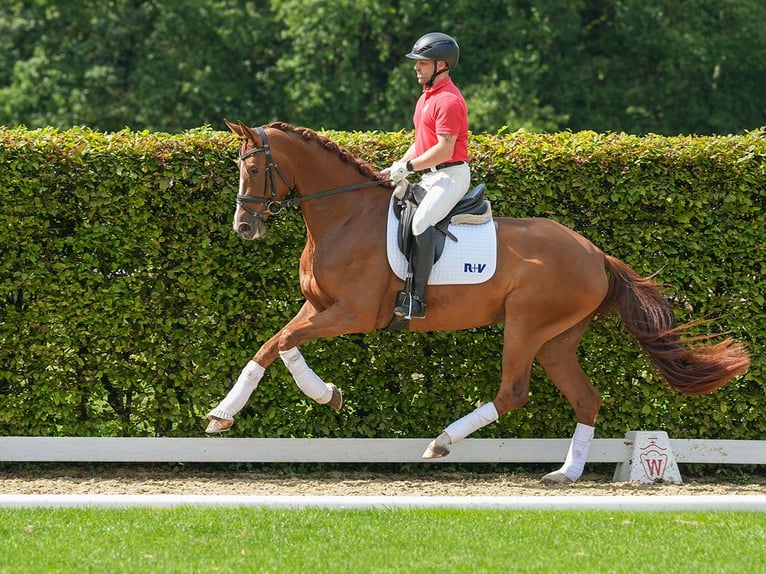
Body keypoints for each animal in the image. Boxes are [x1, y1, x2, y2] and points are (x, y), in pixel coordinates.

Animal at [207, 120, 752, 486]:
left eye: (253, 166)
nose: (244, 227)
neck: (343, 215)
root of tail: (595, 253)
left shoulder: (353, 314)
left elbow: (285, 343)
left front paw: (322, 395)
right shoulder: (318, 307)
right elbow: (273, 345)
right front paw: (227, 412)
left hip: (526, 326)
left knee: (513, 392)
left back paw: (442, 442)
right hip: (556, 340)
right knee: (586, 398)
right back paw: (565, 473)